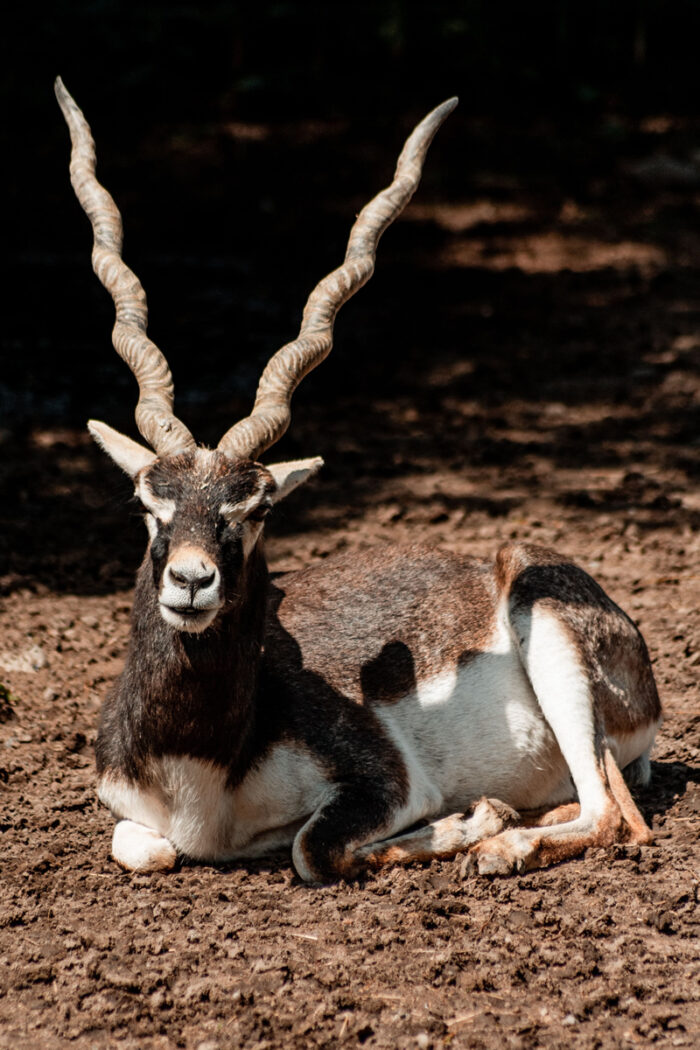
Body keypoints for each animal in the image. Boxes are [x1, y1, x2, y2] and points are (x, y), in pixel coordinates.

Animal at [56, 78, 661, 883]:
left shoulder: (387, 781)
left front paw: (474, 821)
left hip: (550, 632)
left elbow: (312, 849)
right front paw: (478, 817)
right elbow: (144, 850)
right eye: (148, 503)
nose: (190, 581)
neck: (200, 772)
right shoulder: (128, 809)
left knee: (617, 816)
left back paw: (502, 841)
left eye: (257, 509)